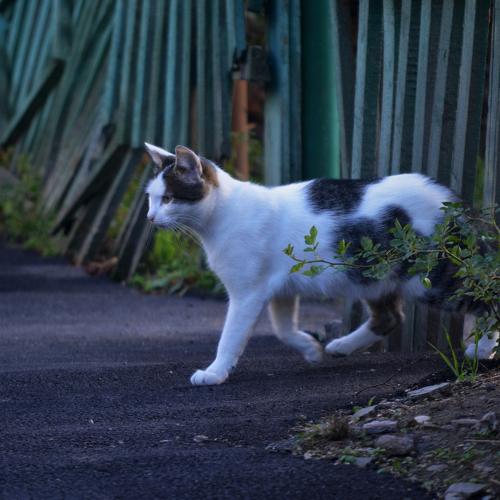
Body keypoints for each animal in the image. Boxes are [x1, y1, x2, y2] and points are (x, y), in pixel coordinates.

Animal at [144, 143, 498, 385]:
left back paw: (482, 350)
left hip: (431, 276)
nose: (149, 217)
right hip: (373, 274)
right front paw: (310, 348)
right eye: (150, 197)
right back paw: (341, 345)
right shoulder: (279, 291)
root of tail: (449, 196)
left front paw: (214, 372)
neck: (221, 215)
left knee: (486, 292)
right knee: (389, 317)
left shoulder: (247, 293)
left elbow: (230, 336)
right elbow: (283, 329)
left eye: (168, 199)